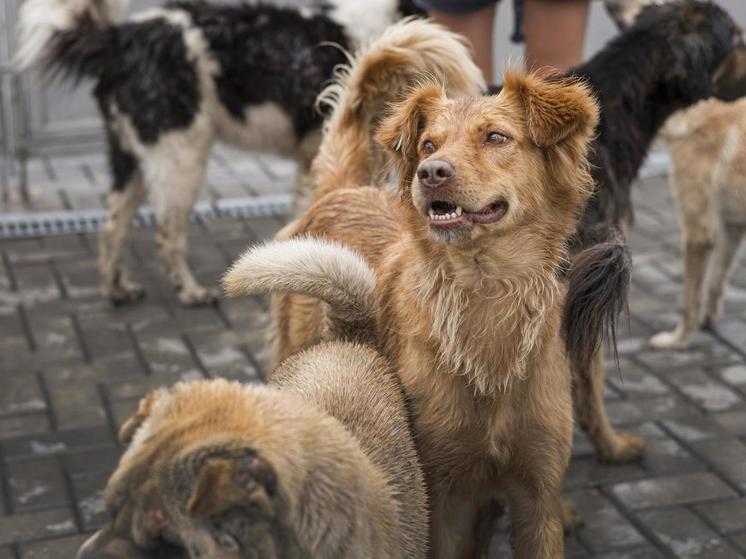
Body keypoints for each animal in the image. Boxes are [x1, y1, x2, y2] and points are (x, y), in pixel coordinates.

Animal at [16, 0, 418, 306]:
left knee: (112, 227)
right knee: (167, 235)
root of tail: (120, 40)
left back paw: (117, 289)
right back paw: (191, 292)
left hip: (132, 160)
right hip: (181, 159)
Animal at [224, 27, 600, 559]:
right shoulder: (437, 500)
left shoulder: (536, 502)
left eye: (496, 137)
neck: (485, 294)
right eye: (428, 144)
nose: (432, 172)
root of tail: (342, 190)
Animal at [644, 97, 744, 350]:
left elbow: (689, 300)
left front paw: (678, 340)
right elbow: (715, 281)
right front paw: (708, 321)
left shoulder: (698, 232)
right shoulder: (732, 228)